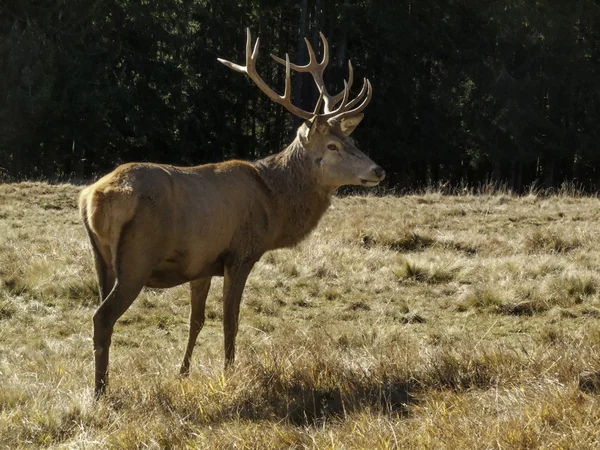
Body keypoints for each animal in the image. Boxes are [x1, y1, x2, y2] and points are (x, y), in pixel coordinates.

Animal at [78, 28, 384, 396]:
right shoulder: (241, 252)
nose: (378, 170)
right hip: (137, 256)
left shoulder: (201, 264)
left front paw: (183, 373)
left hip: (101, 259)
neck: (274, 203)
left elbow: (196, 320)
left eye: (353, 141)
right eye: (333, 146)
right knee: (102, 317)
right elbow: (230, 320)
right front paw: (230, 374)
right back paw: (101, 391)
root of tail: (92, 197)